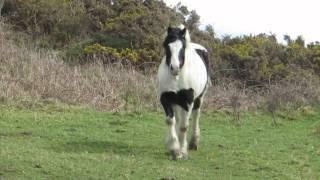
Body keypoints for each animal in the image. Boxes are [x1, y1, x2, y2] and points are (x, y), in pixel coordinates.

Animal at [158, 24, 209, 160]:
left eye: (183, 47)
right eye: (166, 46)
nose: (174, 68)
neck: (177, 77)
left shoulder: (188, 101)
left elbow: (184, 126)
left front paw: (182, 151)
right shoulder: (165, 99)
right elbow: (171, 121)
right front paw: (174, 149)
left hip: (199, 98)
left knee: (196, 116)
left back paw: (193, 143)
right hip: (176, 101)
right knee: (178, 118)